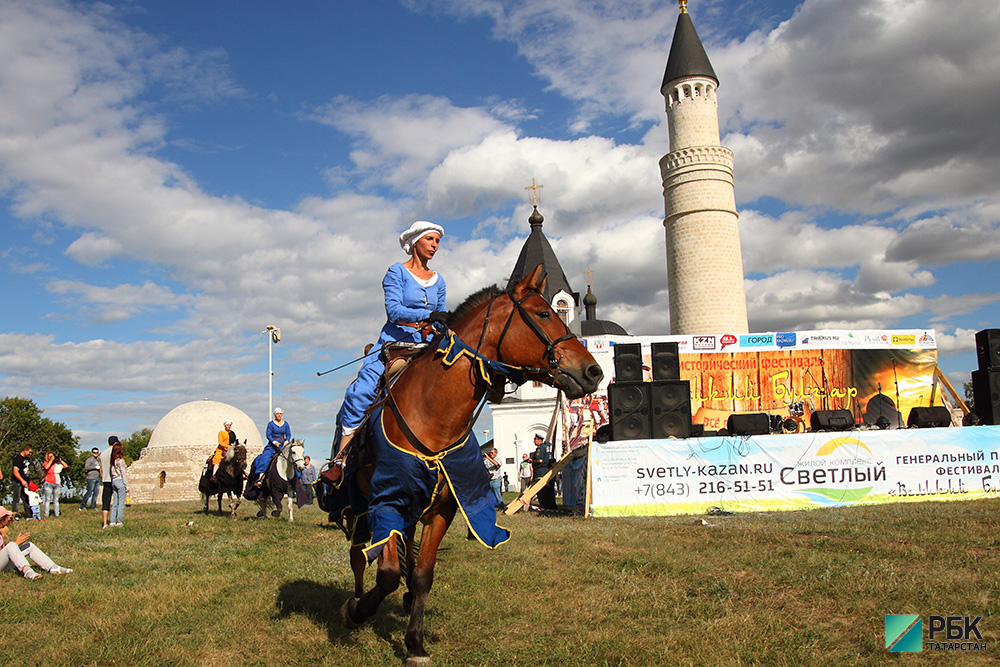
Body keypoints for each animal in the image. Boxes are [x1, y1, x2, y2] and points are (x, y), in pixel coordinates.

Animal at [336, 266, 600, 667]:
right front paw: (358, 611)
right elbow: (387, 574)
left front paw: (415, 642)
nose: (593, 371)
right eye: (543, 314)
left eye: (556, 311)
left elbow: (422, 574)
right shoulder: (386, 501)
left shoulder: (442, 509)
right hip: (358, 507)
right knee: (356, 556)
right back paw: (353, 600)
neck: (433, 414)